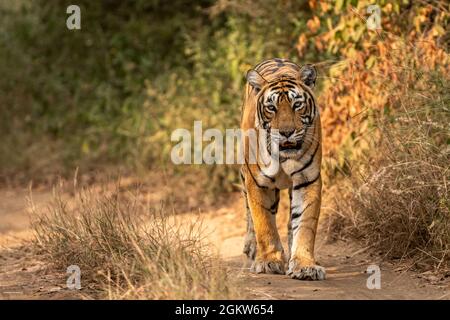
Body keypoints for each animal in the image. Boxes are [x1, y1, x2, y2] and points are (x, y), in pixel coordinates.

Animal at [241, 57, 326, 280]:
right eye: (271, 107)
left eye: (297, 105)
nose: (287, 132)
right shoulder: (257, 182)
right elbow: (264, 223)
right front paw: (268, 261)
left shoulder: (307, 179)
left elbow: (304, 223)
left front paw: (304, 265)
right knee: (250, 214)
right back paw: (251, 247)